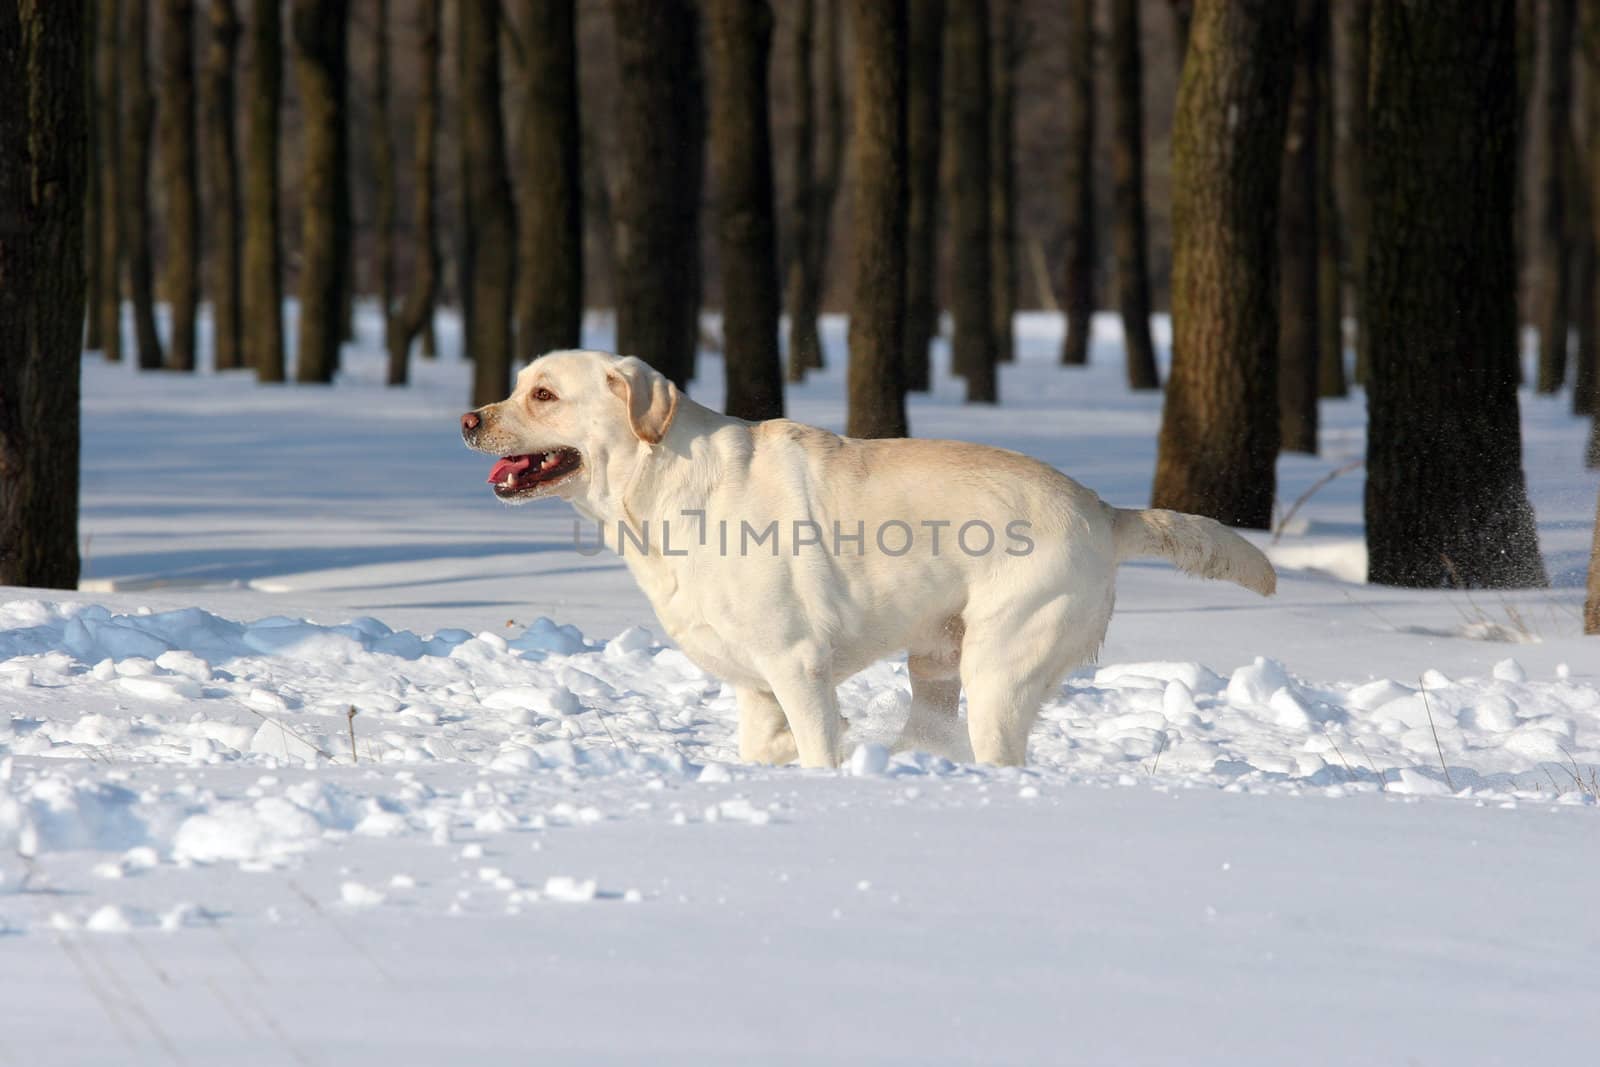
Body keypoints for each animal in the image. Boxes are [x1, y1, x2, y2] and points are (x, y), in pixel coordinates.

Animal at [464, 350, 1273, 767]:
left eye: (542, 395)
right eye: (516, 385)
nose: (469, 419)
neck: (658, 484)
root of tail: (1104, 510)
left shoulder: (796, 664)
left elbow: (819, 743)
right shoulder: (756, 685)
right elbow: (765, 745)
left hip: (1001, 665)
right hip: (936, 663)